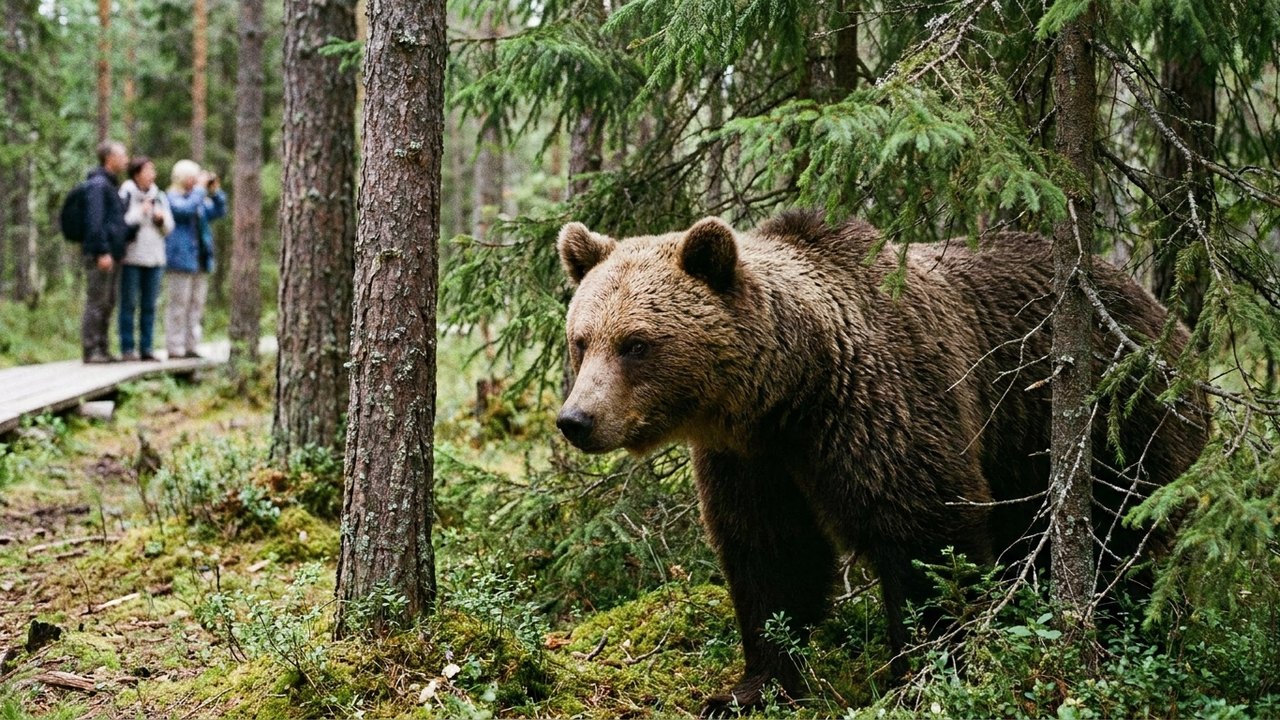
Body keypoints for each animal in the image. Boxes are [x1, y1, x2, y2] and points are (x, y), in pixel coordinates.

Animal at [554, 210, 1208, 714]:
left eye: (636, 344)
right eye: (581, 340)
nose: (576, 419)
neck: (792, 389)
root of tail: (1166, 316)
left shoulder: (880, 409)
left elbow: (925, 537)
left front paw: (920, 678)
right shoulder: (752, 459)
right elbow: (770, 554)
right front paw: (747, 689)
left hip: (1120, 422)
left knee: (1125, 537)